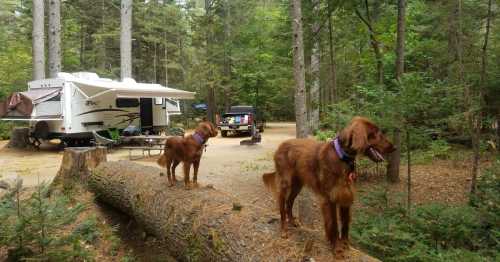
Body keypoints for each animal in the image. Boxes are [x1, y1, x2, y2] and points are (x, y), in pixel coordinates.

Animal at [264, 116, 396, 252]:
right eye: (376, 133)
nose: (394, 147)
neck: (341, 156)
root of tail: (281, 145)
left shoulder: (345, 194)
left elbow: (345, 223)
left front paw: (345, 244)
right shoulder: (330, 197)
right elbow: (333, 223)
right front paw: (337, 247)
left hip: (297, 184)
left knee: (289, 202)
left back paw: (292, 221)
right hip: (285, 183)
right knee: (281, 206)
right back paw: (284, 230)